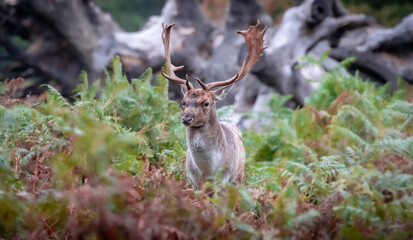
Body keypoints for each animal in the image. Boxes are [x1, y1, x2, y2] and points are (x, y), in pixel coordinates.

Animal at [159, 20, 266, 189]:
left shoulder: (224, 181)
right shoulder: (193, 182)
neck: (208, 171)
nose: (186, 119)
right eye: (183, 102)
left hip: (239, 177)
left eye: (206, 103)